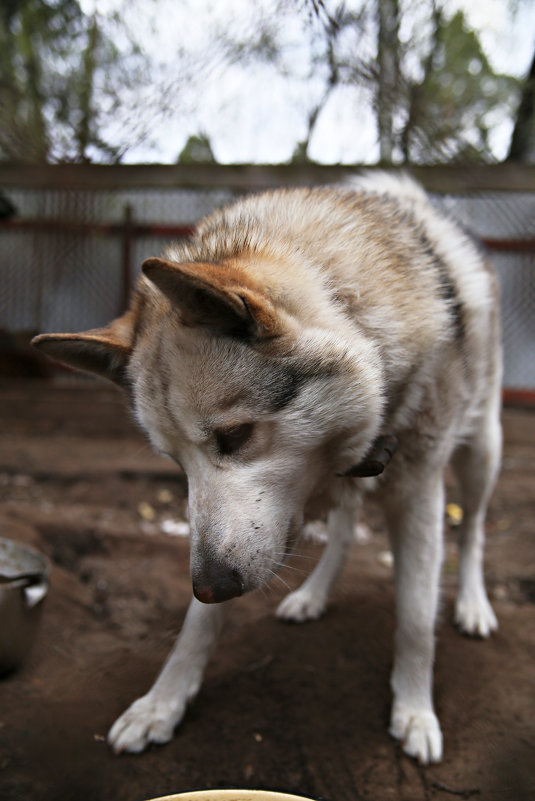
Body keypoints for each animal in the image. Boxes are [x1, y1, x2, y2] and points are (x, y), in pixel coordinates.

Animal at [33, 173, 502, 764]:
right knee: (345, 533)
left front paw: (416, 710)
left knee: (474, 531)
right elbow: (197, 626)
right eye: (174, 461)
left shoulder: (416, 492)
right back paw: (312, 595)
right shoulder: (264, 525)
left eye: (233, 436)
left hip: (481, 454)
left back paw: (473, 605)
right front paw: (162, 703)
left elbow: (417, 616)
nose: (209, 585)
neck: (362, 320)